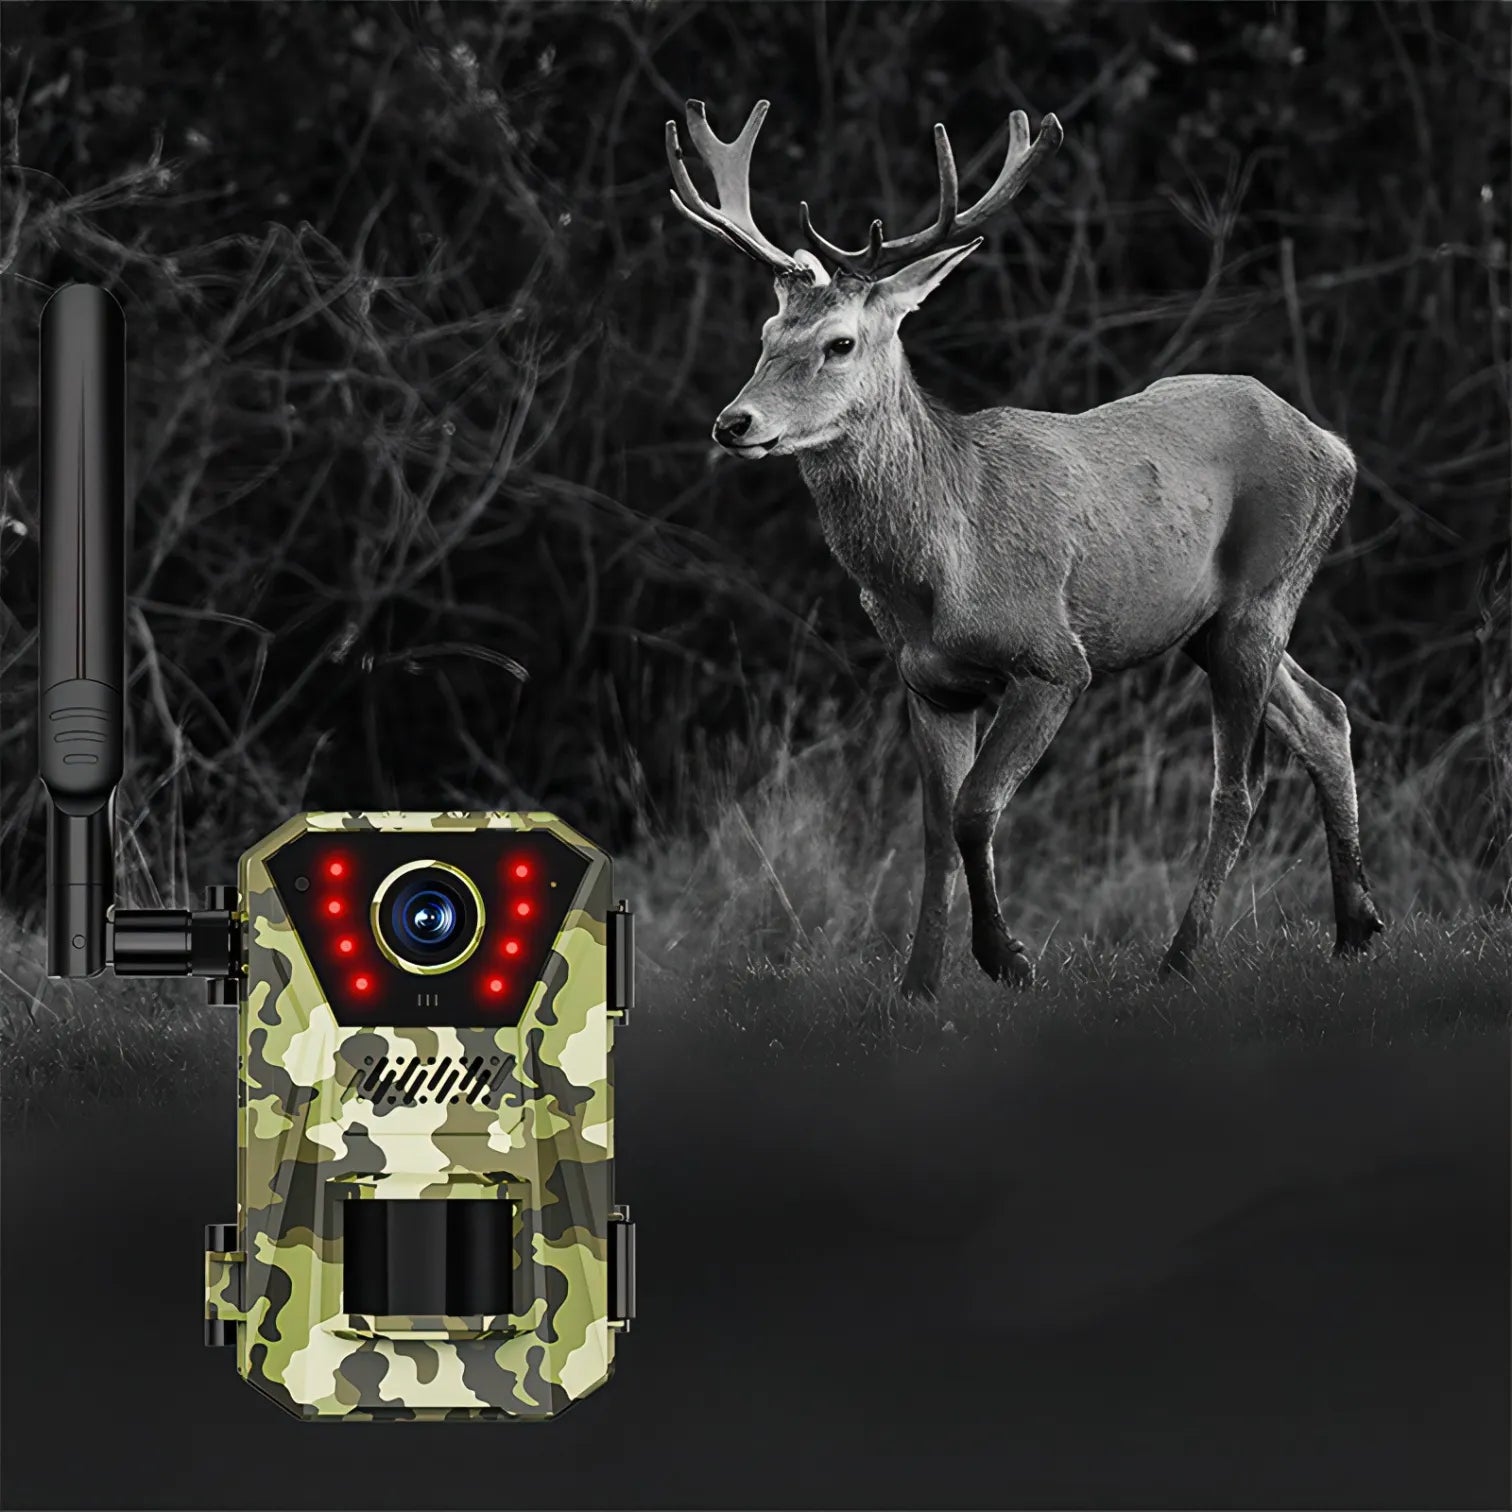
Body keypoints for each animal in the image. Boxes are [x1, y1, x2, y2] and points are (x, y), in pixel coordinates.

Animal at [665, 97, 1385, 998]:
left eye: (840, 342)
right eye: (767, 331)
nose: (735, 423)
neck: (938, 569)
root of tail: (1335, 446)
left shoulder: (1053, 658)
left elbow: (976, 808)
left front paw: (1005, 957)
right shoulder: (929, 681)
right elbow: (933, 828)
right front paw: (918, 985)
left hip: (1266, 588)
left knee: (1240, 783)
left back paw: (1181, 960)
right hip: (1210, 624)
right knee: (1326, 715)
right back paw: (1356, 929)